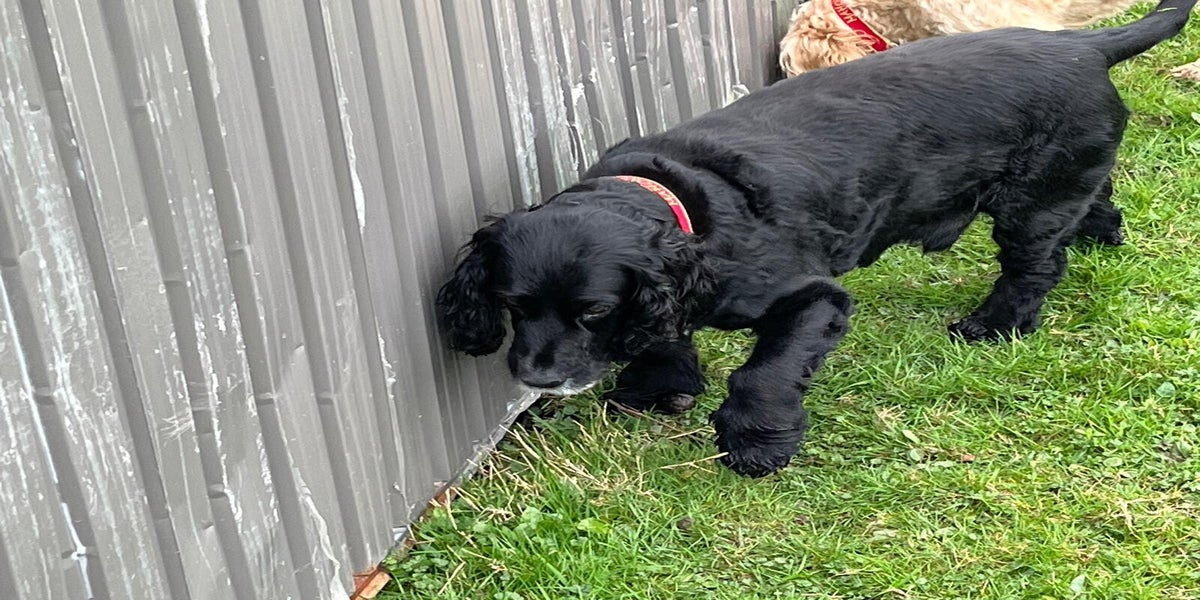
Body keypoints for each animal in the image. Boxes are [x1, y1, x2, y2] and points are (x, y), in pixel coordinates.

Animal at [438, 0, 1195, 478]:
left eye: (592, 310)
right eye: (511, 304)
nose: (535, 376)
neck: (681, 197)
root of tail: (1084, 43)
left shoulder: (810, 298)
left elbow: (763, 370)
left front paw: (755, 443)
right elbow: (665, 334)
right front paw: (659, 386)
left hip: (1029, 202)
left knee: (1033, 265)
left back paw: (994, 325)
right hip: (1061, 179)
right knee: (1092, 206)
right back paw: (1103, 237)